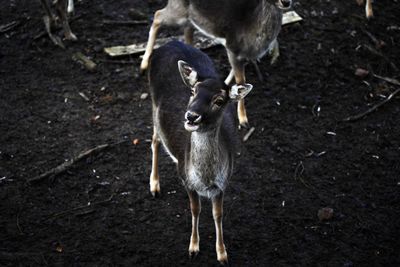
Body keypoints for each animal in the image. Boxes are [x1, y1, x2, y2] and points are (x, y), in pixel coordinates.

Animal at [140, 0, 290, 129]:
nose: (286, 2)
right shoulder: (233, 47)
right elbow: (241, 80)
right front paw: (243, 121)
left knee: (187, 29)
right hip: (178, 11)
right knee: (158, 15)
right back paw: (144, 65)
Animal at [148, 40, 252, 264]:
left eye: (219, 101)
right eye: (193, 92)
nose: (191, 116)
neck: (205, 179)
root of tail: (171, 42)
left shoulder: (222, 184)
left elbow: (218, 214)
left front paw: (222, 254)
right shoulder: (186, 179)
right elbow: (195, 210)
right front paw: (193, 248)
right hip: (152, 104)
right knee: (155, 140)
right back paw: (154, 185)